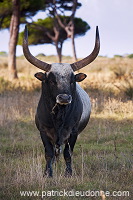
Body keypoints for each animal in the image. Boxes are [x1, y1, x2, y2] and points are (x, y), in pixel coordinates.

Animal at [22, 25, 100, 177]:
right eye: (51, 80)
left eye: (72, 80)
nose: (64, 98)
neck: (59, 115)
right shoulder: (43, 131)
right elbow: (49, 153)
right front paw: (48, 173)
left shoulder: (73, 132)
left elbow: (68, 154)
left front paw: (68, 173)